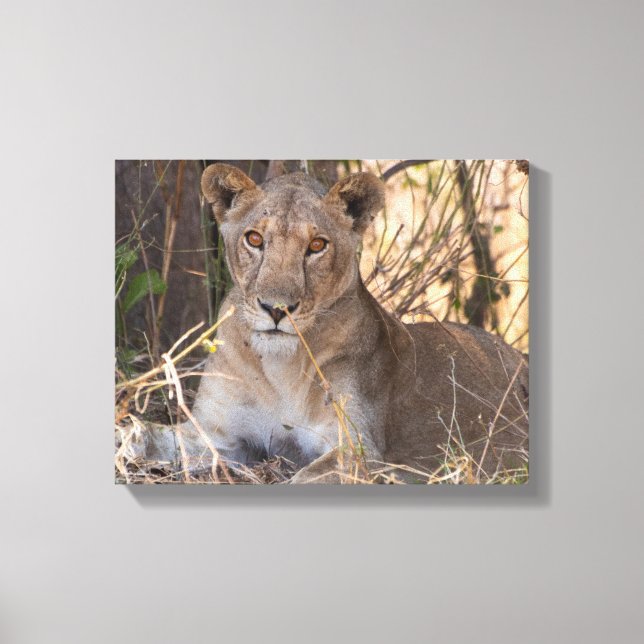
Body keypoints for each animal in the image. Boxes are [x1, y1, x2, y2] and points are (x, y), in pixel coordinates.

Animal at [123, 163, 528, 483]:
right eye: (254, 239)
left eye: (317, 246)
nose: (276, 309)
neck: (280, 368)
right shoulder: (216, 434)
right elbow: (157, 437)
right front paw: (130, 438)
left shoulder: (358, 451)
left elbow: (301, 481)